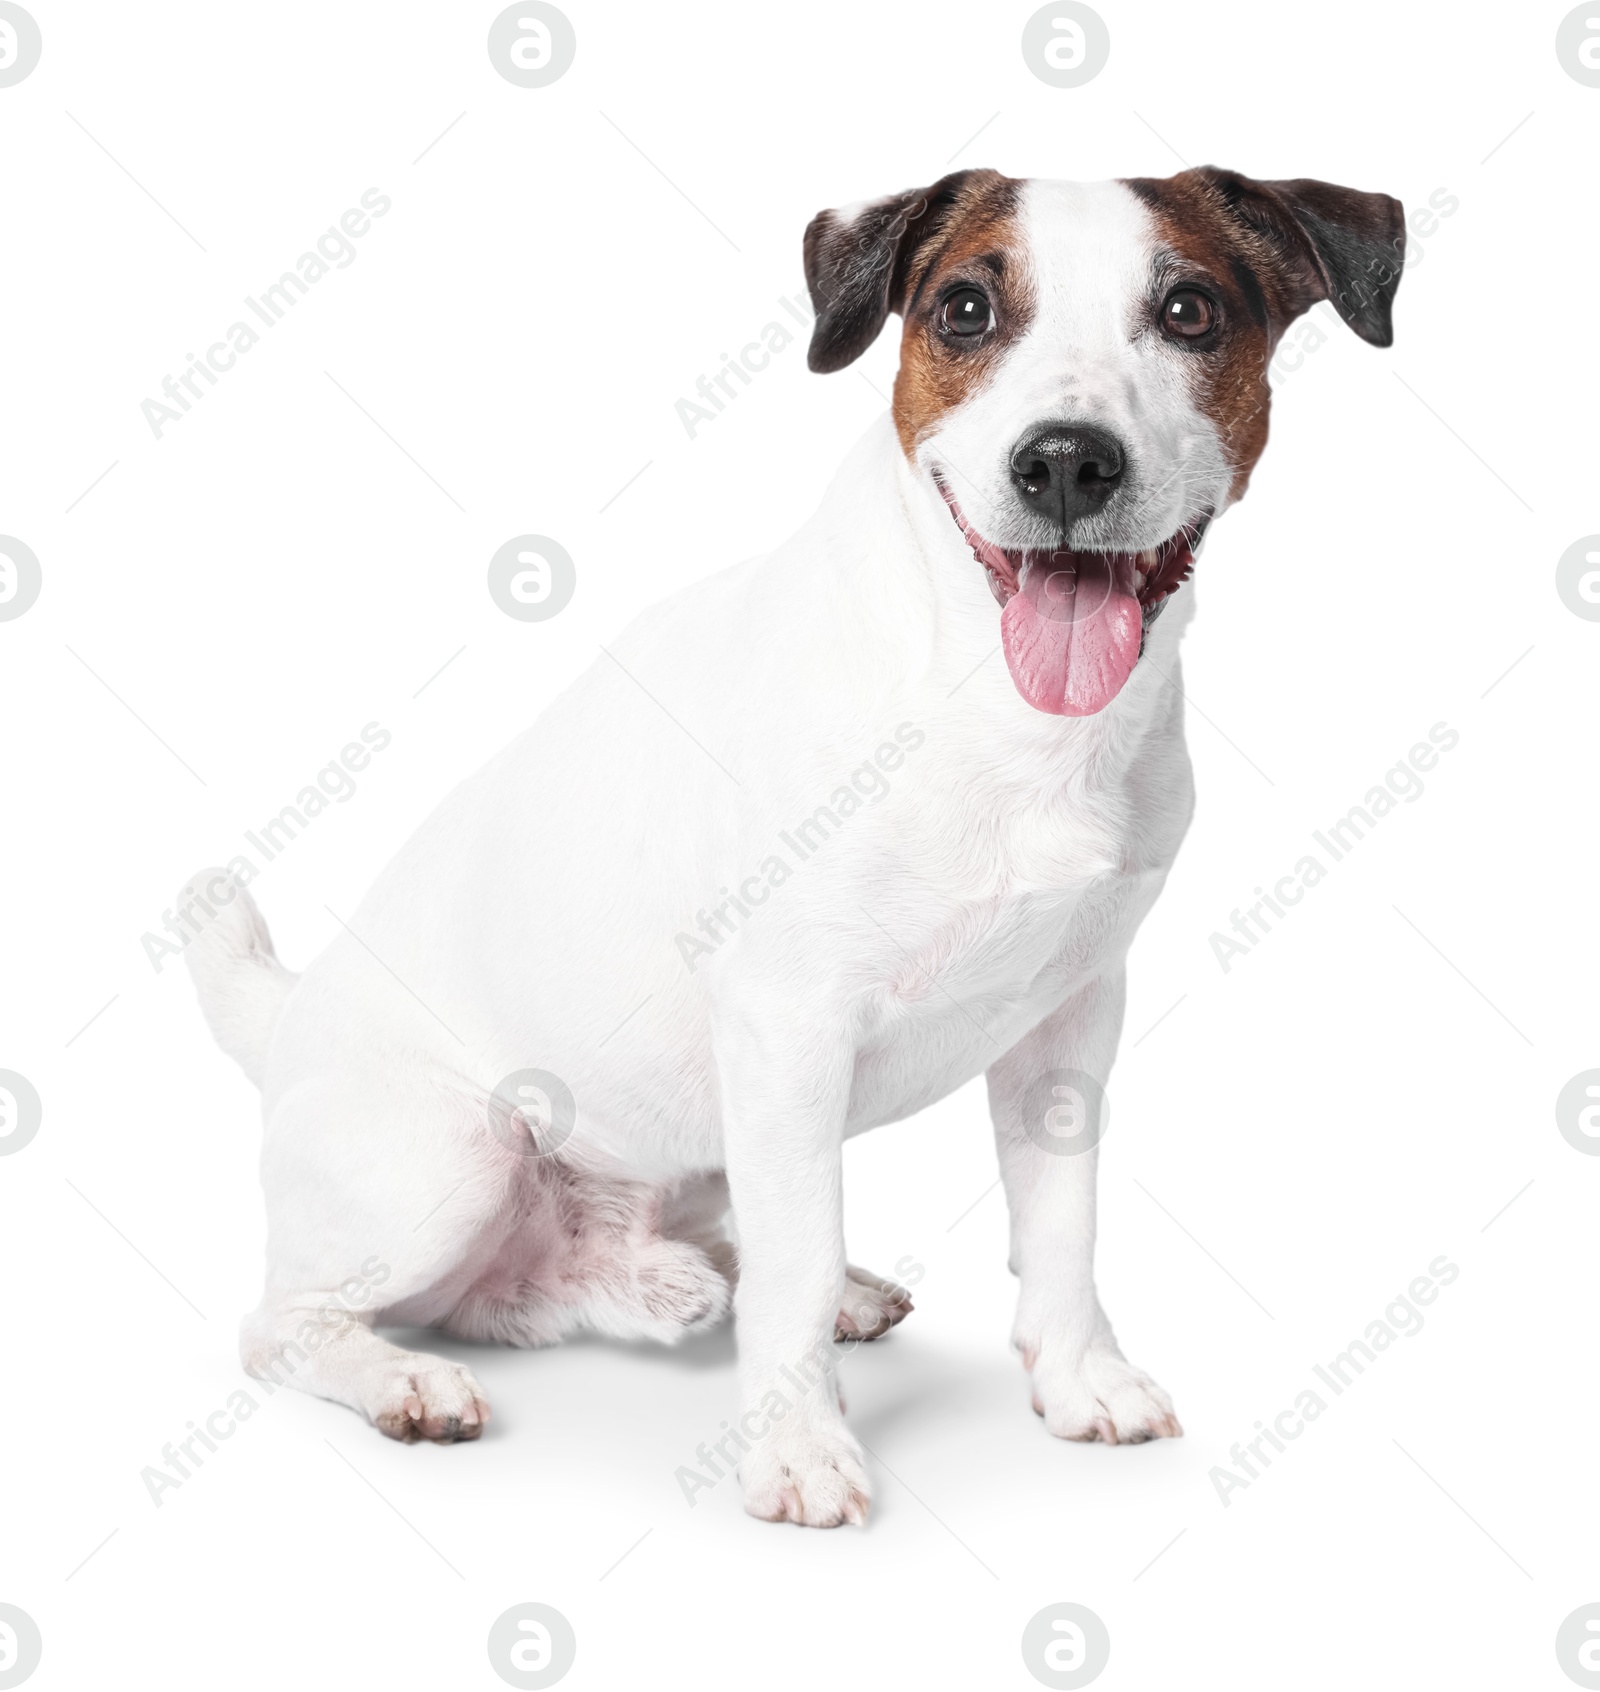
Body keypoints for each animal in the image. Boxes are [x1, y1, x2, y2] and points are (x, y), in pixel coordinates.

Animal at [184, 164, 1393, 1529]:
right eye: (965, 309)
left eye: (1189, 310)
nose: (1066, 463)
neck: (991, 708)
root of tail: (284, 1023)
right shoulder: (788, 1024)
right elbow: (796, 1264)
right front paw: (799, 1446)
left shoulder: (1070, 1023)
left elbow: (1060, 1224)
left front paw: (1077, 1376)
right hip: (452, 1155)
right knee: (289, 1324)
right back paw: (405, 1377)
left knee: (587, 1277)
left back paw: (687, 1281)